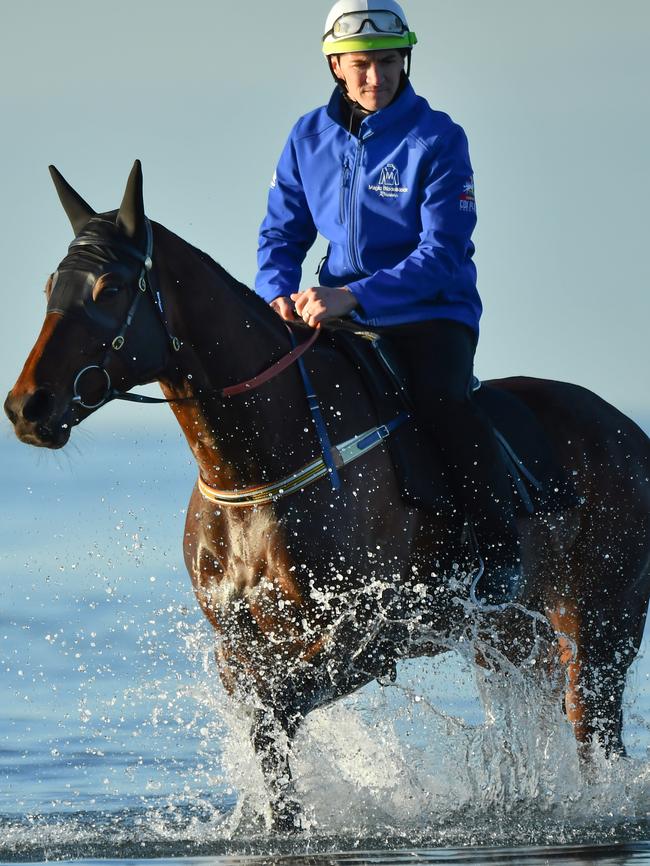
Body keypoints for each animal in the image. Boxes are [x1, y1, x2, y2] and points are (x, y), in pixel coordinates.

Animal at [5, 162, 648, 832]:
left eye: (108, 289)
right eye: (51, 285)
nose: (28, 407)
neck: (264, 465)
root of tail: (629, 432)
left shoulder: (371, 630)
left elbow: (277, 712)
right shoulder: (240, 648)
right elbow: (268, 740)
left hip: (600, 632)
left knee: (593, 732)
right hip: (514, 642)